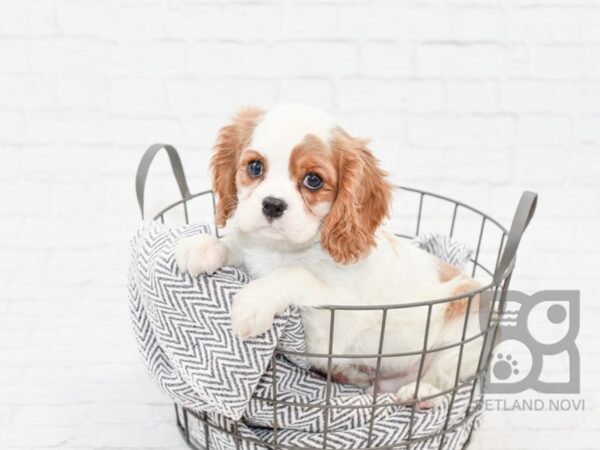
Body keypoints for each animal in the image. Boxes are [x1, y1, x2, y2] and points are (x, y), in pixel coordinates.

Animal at [177, 104, 482, 408]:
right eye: (255, 167)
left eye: (313, 180)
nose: (272, 204)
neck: (283, 250)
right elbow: (237, 244)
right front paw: (204, 246)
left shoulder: (335, 323)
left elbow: (295, 274)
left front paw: (253, 301)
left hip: (463, 334)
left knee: (443, 375)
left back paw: (421, 392)